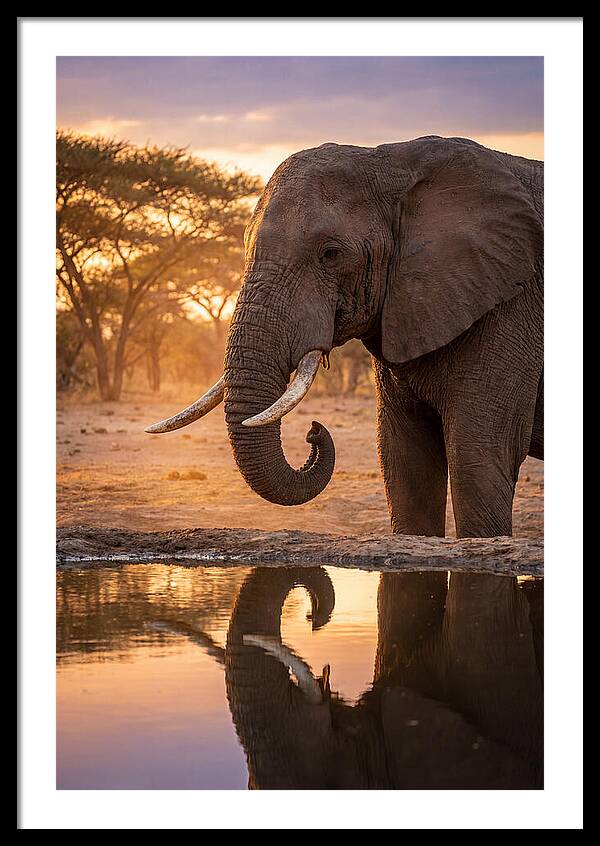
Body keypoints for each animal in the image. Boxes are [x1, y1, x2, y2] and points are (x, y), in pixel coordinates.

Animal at [147, 135, 543, 538]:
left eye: (331, 254)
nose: (314, 431)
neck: (396, 162)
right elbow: (405, 462)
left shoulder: (511, 305)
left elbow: (478, 458)